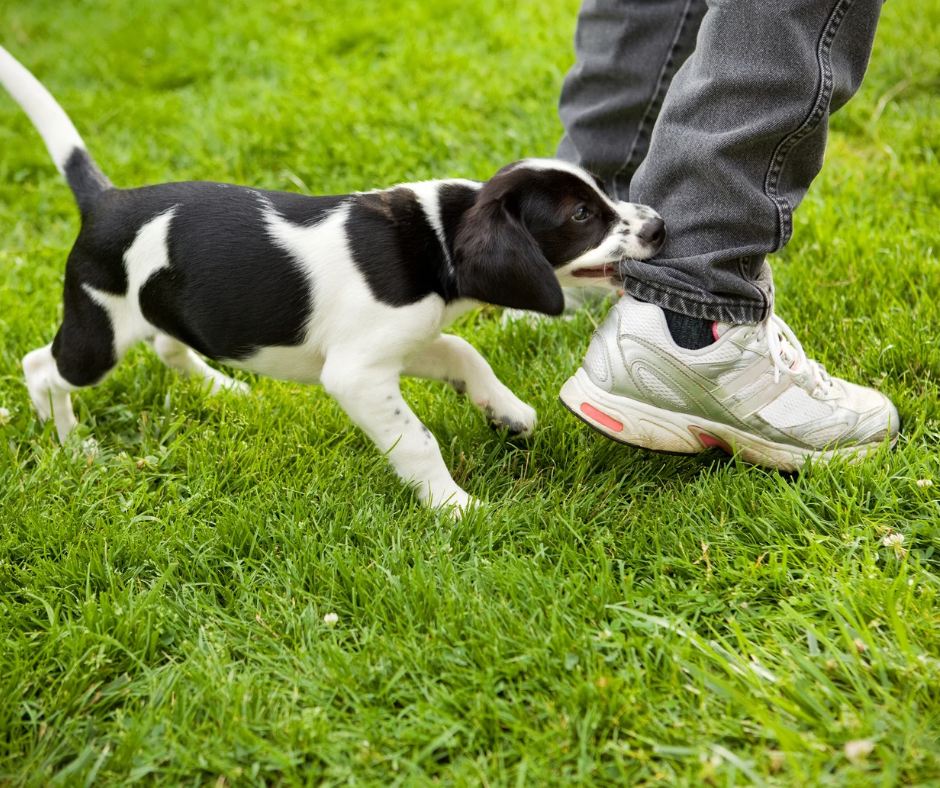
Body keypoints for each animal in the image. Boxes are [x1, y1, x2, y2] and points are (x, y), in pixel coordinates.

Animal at [0, 44, 664, 510]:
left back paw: (222, 387)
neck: (437, 236)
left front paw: (507, 412)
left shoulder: (401, 344)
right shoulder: (357, 374)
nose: (659, 226)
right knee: (43, 368)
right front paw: (454, 506)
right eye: (581, 216)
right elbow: (417, 439)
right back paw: (71, 444)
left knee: (168, 344)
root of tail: (106, 201)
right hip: (100, 332)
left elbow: (463, 352)